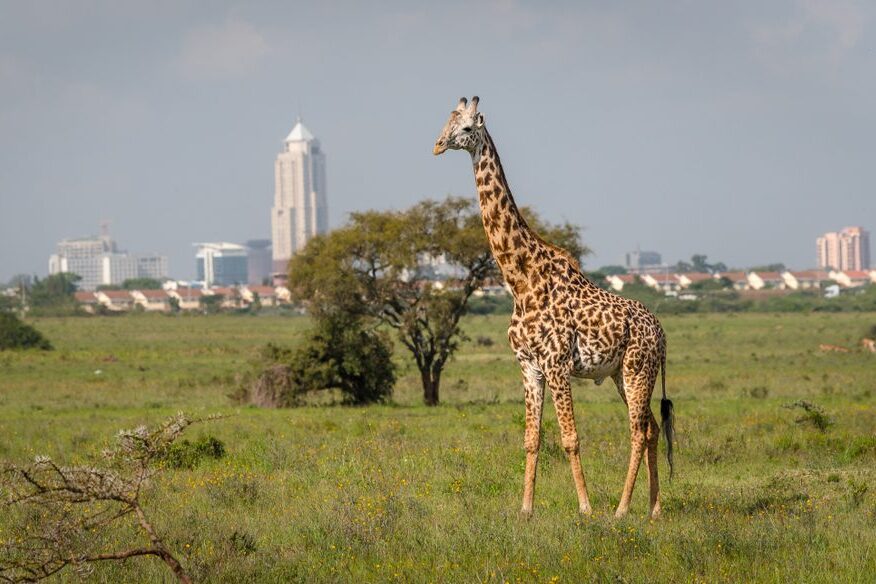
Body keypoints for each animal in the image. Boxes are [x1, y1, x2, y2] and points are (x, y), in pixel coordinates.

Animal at [433, 97, 675, 519]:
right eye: (446, 123)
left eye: (465, 128)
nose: (437, 145)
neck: (520, 280)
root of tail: (661, 333)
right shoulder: (528, 365)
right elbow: (531, 439)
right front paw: (526, 510)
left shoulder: (557, 363)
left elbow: (570, 438)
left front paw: (585, 508)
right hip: (620, 374)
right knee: (651, 429)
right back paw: (654, 509)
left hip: (637, 369)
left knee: (637, 431)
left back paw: (621, 509)